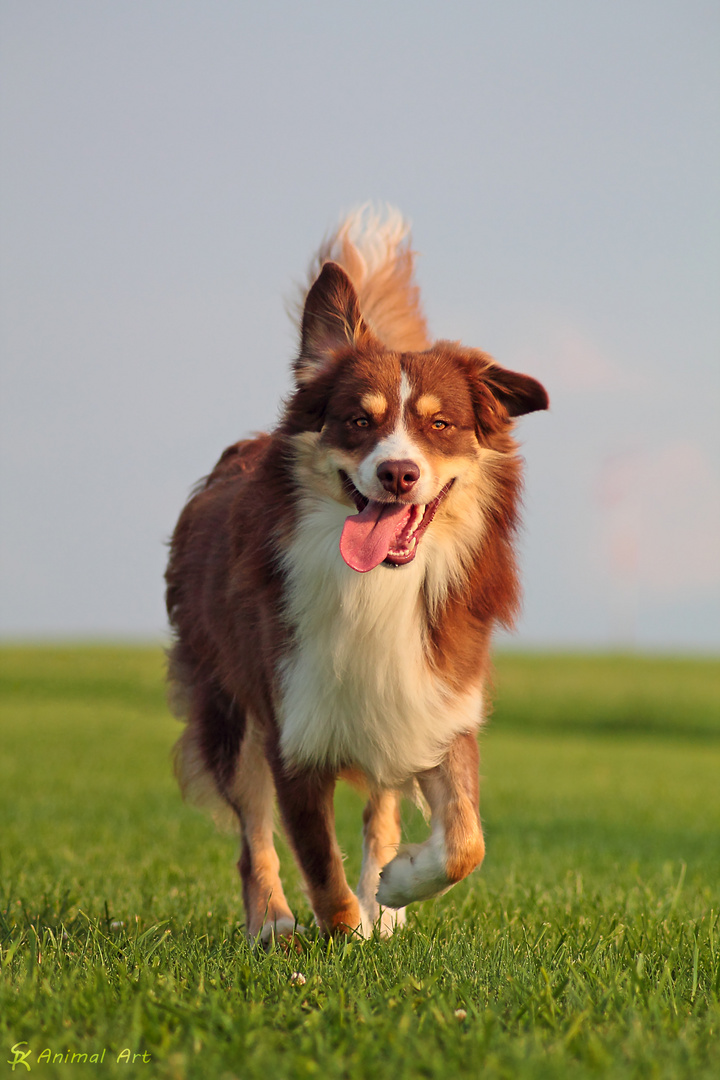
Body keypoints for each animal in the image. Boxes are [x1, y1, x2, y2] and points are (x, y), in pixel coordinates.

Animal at [166, 206, 548, 941]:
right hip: (227, 707)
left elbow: (466, 840)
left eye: (440, 424)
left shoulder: (438, 702)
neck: (380, 586)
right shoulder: (293, 724)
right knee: (253, 831)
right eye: (355, 420)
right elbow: (318, 863)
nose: (397, 474)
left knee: (383, 808)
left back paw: (385, 903)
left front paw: (397, 888)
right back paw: (272, 924)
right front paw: (342, 932)